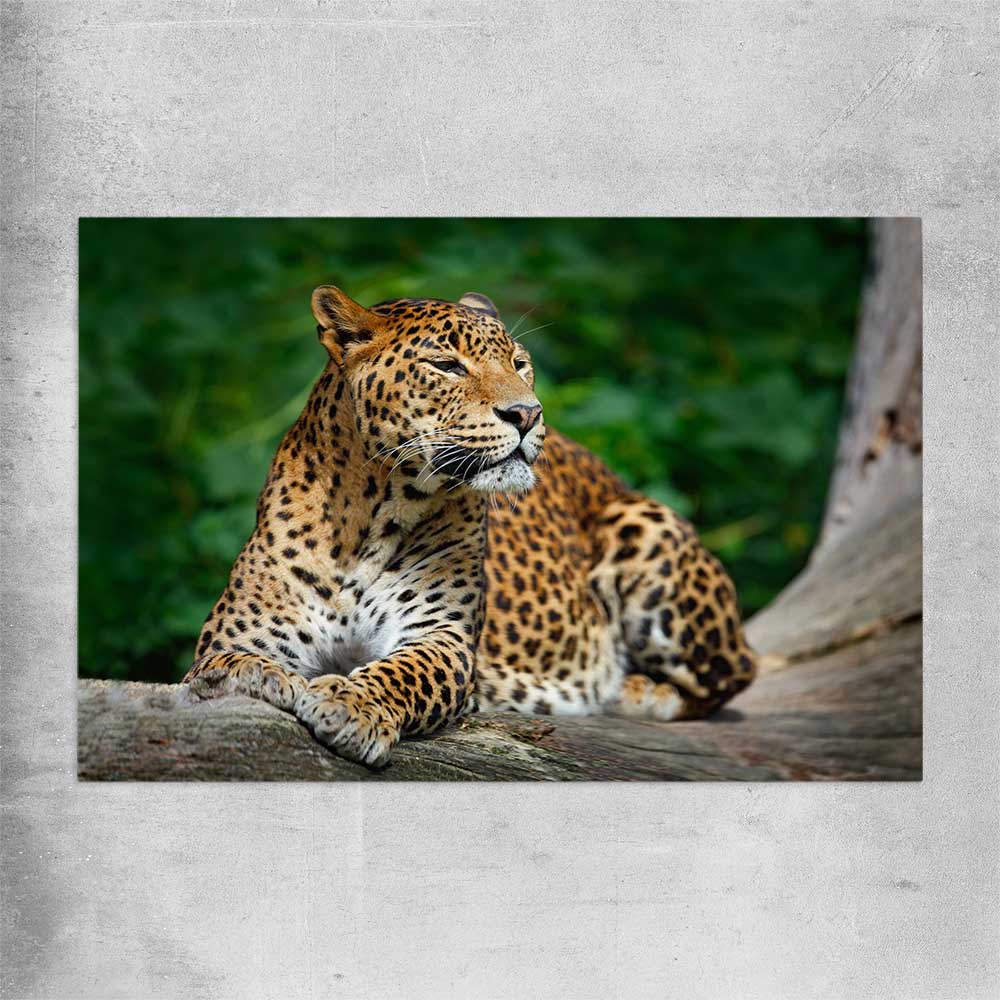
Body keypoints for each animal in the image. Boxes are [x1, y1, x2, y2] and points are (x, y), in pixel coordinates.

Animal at [184, 286, 757, 766]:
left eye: (520, 364)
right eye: (446, 365)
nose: (527, 413)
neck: (370, 516)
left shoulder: (444, 637)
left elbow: (402, 673)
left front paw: (351, 704)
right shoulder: (239, 632)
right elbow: (226, 662)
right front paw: (254, 676)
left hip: (644, 525)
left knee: (736, 670)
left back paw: (638, 690)